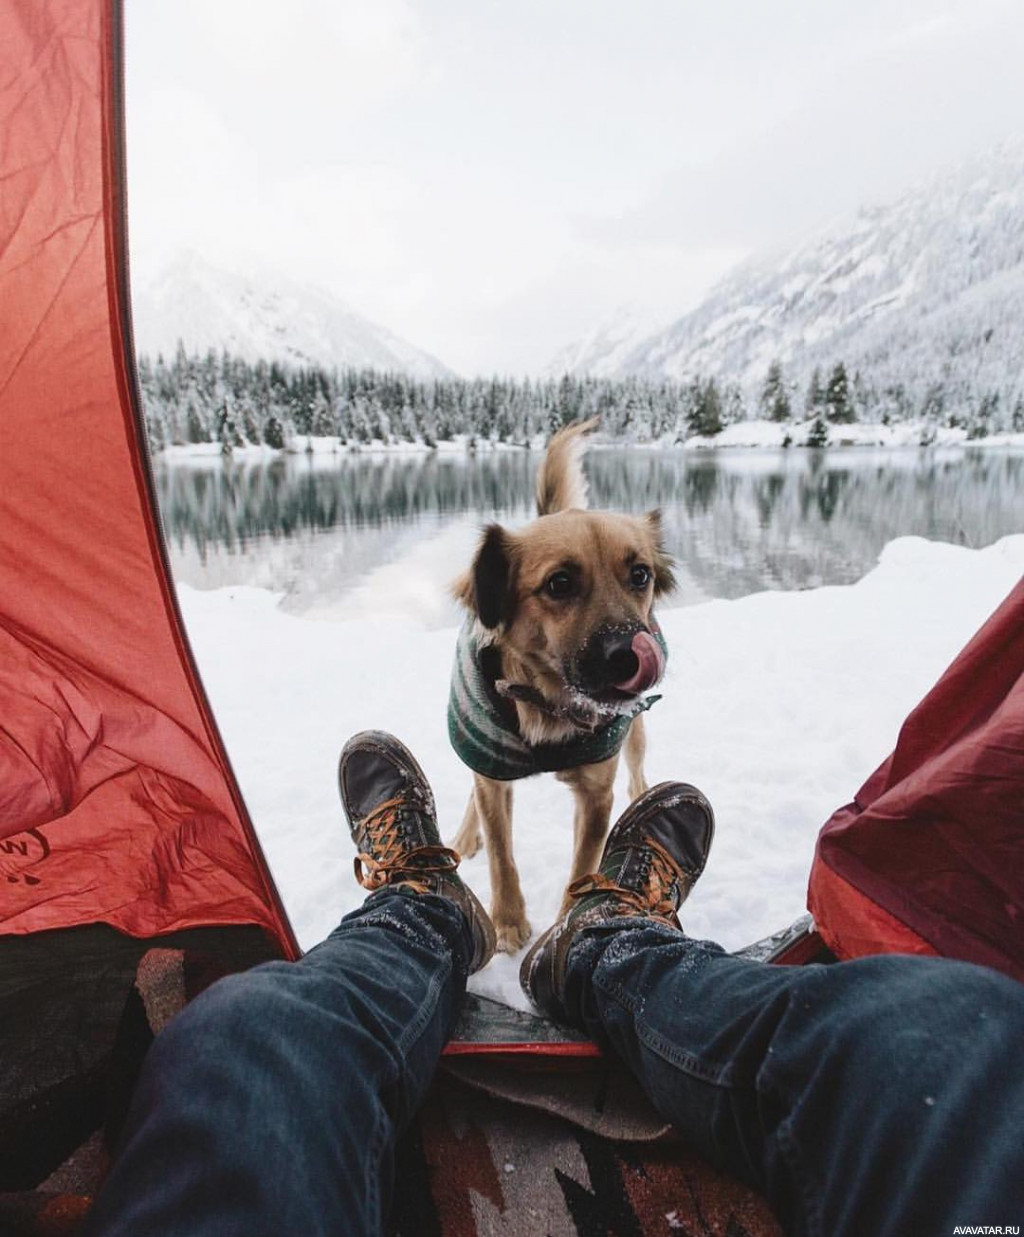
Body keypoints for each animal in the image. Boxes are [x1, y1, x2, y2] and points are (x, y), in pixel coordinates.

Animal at [445, 420, 672, 950]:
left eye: (640, 575)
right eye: (560, 583)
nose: (631, 654)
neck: (548, 701)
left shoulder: (596, 794)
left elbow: (583, 867)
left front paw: (567, 924)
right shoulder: (491, 773)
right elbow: (501, 852)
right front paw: (508, 921)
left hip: (635, 733)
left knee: (637, 764)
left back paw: (643, 791)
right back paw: (466, 835)